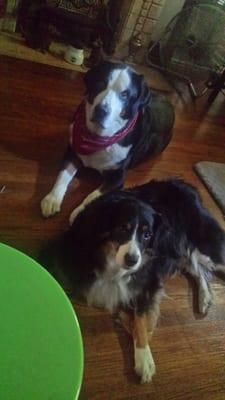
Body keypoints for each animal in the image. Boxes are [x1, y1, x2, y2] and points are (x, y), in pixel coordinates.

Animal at [40, 61, 174, 220]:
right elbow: (63, 174)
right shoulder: (73, 151)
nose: (101, 111)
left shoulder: (117, 178)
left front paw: (82, 213)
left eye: (124, 95)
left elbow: (93, 196)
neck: (98, 137)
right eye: (99, 84)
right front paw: (52, 199)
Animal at [44, 180, 225, 382]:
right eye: (123, 227)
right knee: (196, 267)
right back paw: (205, 298)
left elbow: (140, 319)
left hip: (203, 247)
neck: (107, 253)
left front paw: (144, 358)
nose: (132, 260)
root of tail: (186, 186)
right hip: (182, 251)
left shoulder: (149, 282)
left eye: (147, 235)